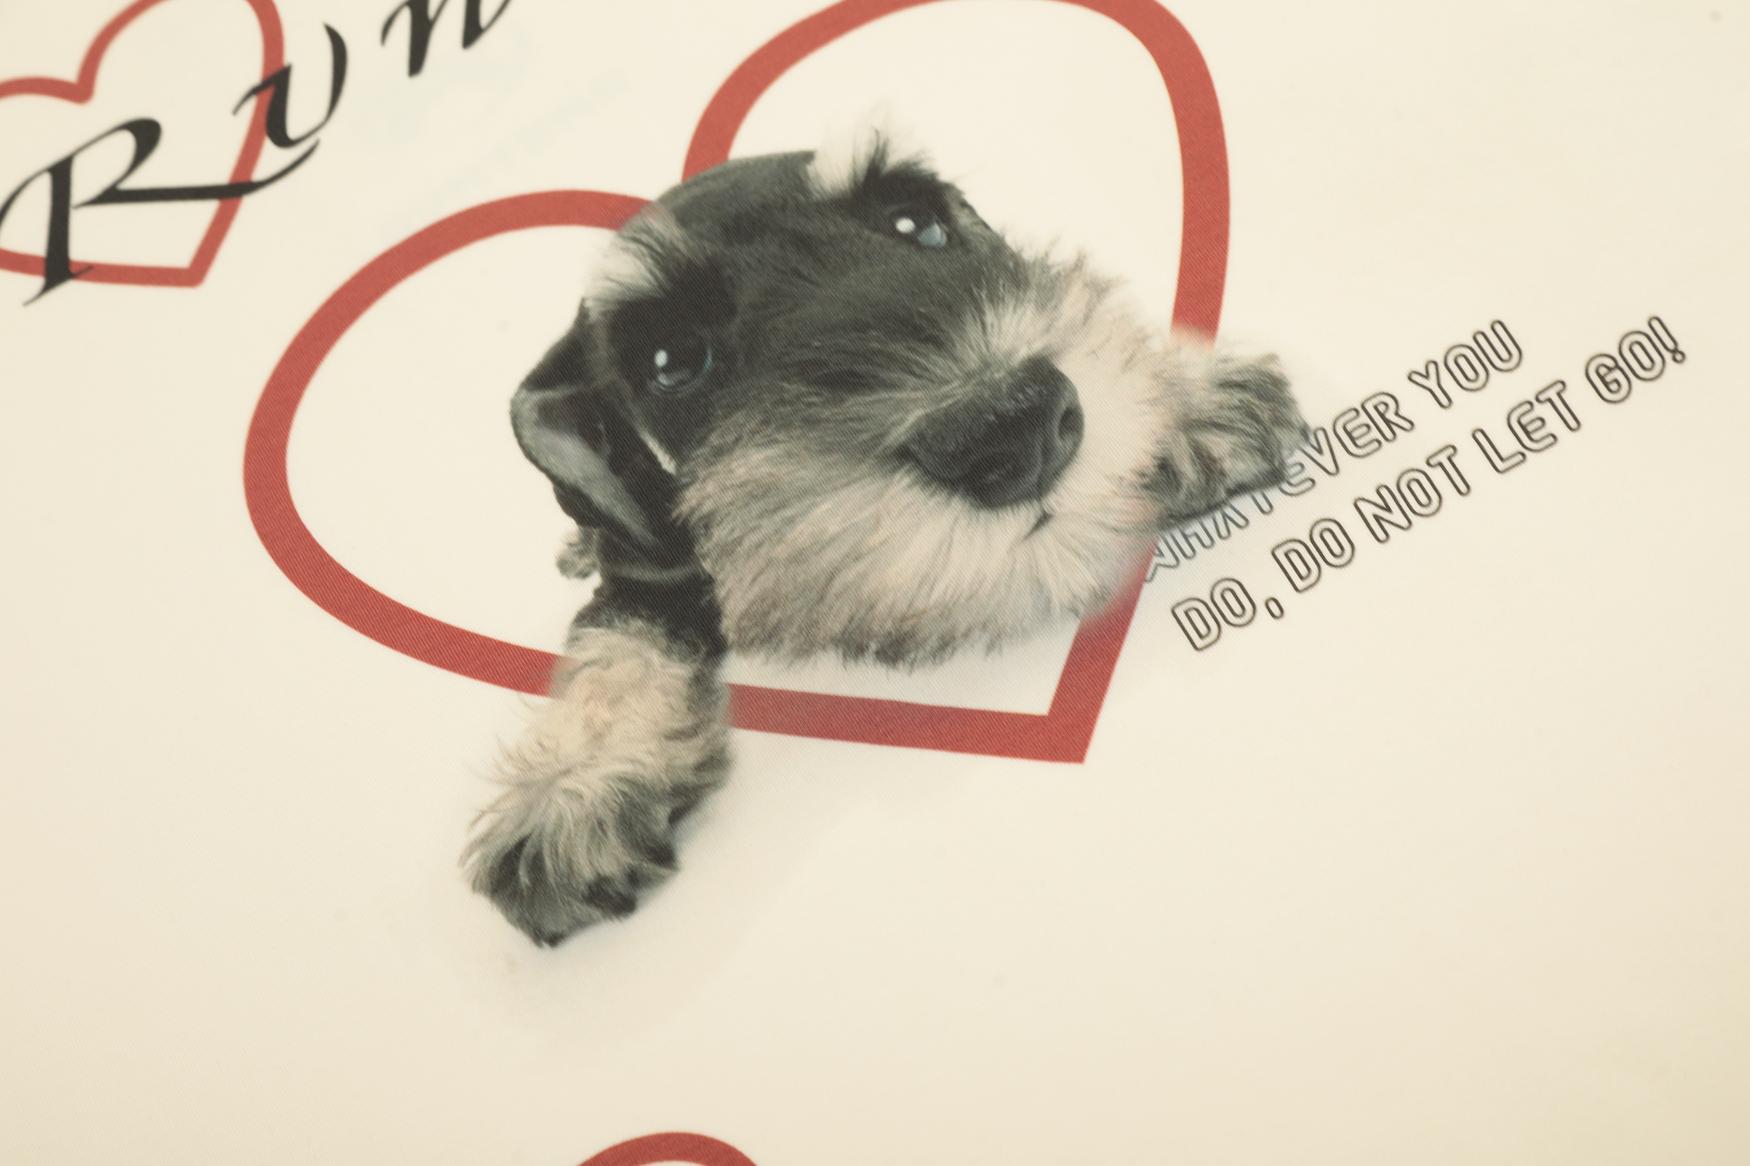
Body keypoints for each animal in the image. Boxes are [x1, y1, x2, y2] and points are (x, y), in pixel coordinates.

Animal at [463, 128, 1307, 945]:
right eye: (672, 362)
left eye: (915, 224)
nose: (1012, 426)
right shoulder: (642, 579)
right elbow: (613, 652)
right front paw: (567, 786)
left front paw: (1188, 400)